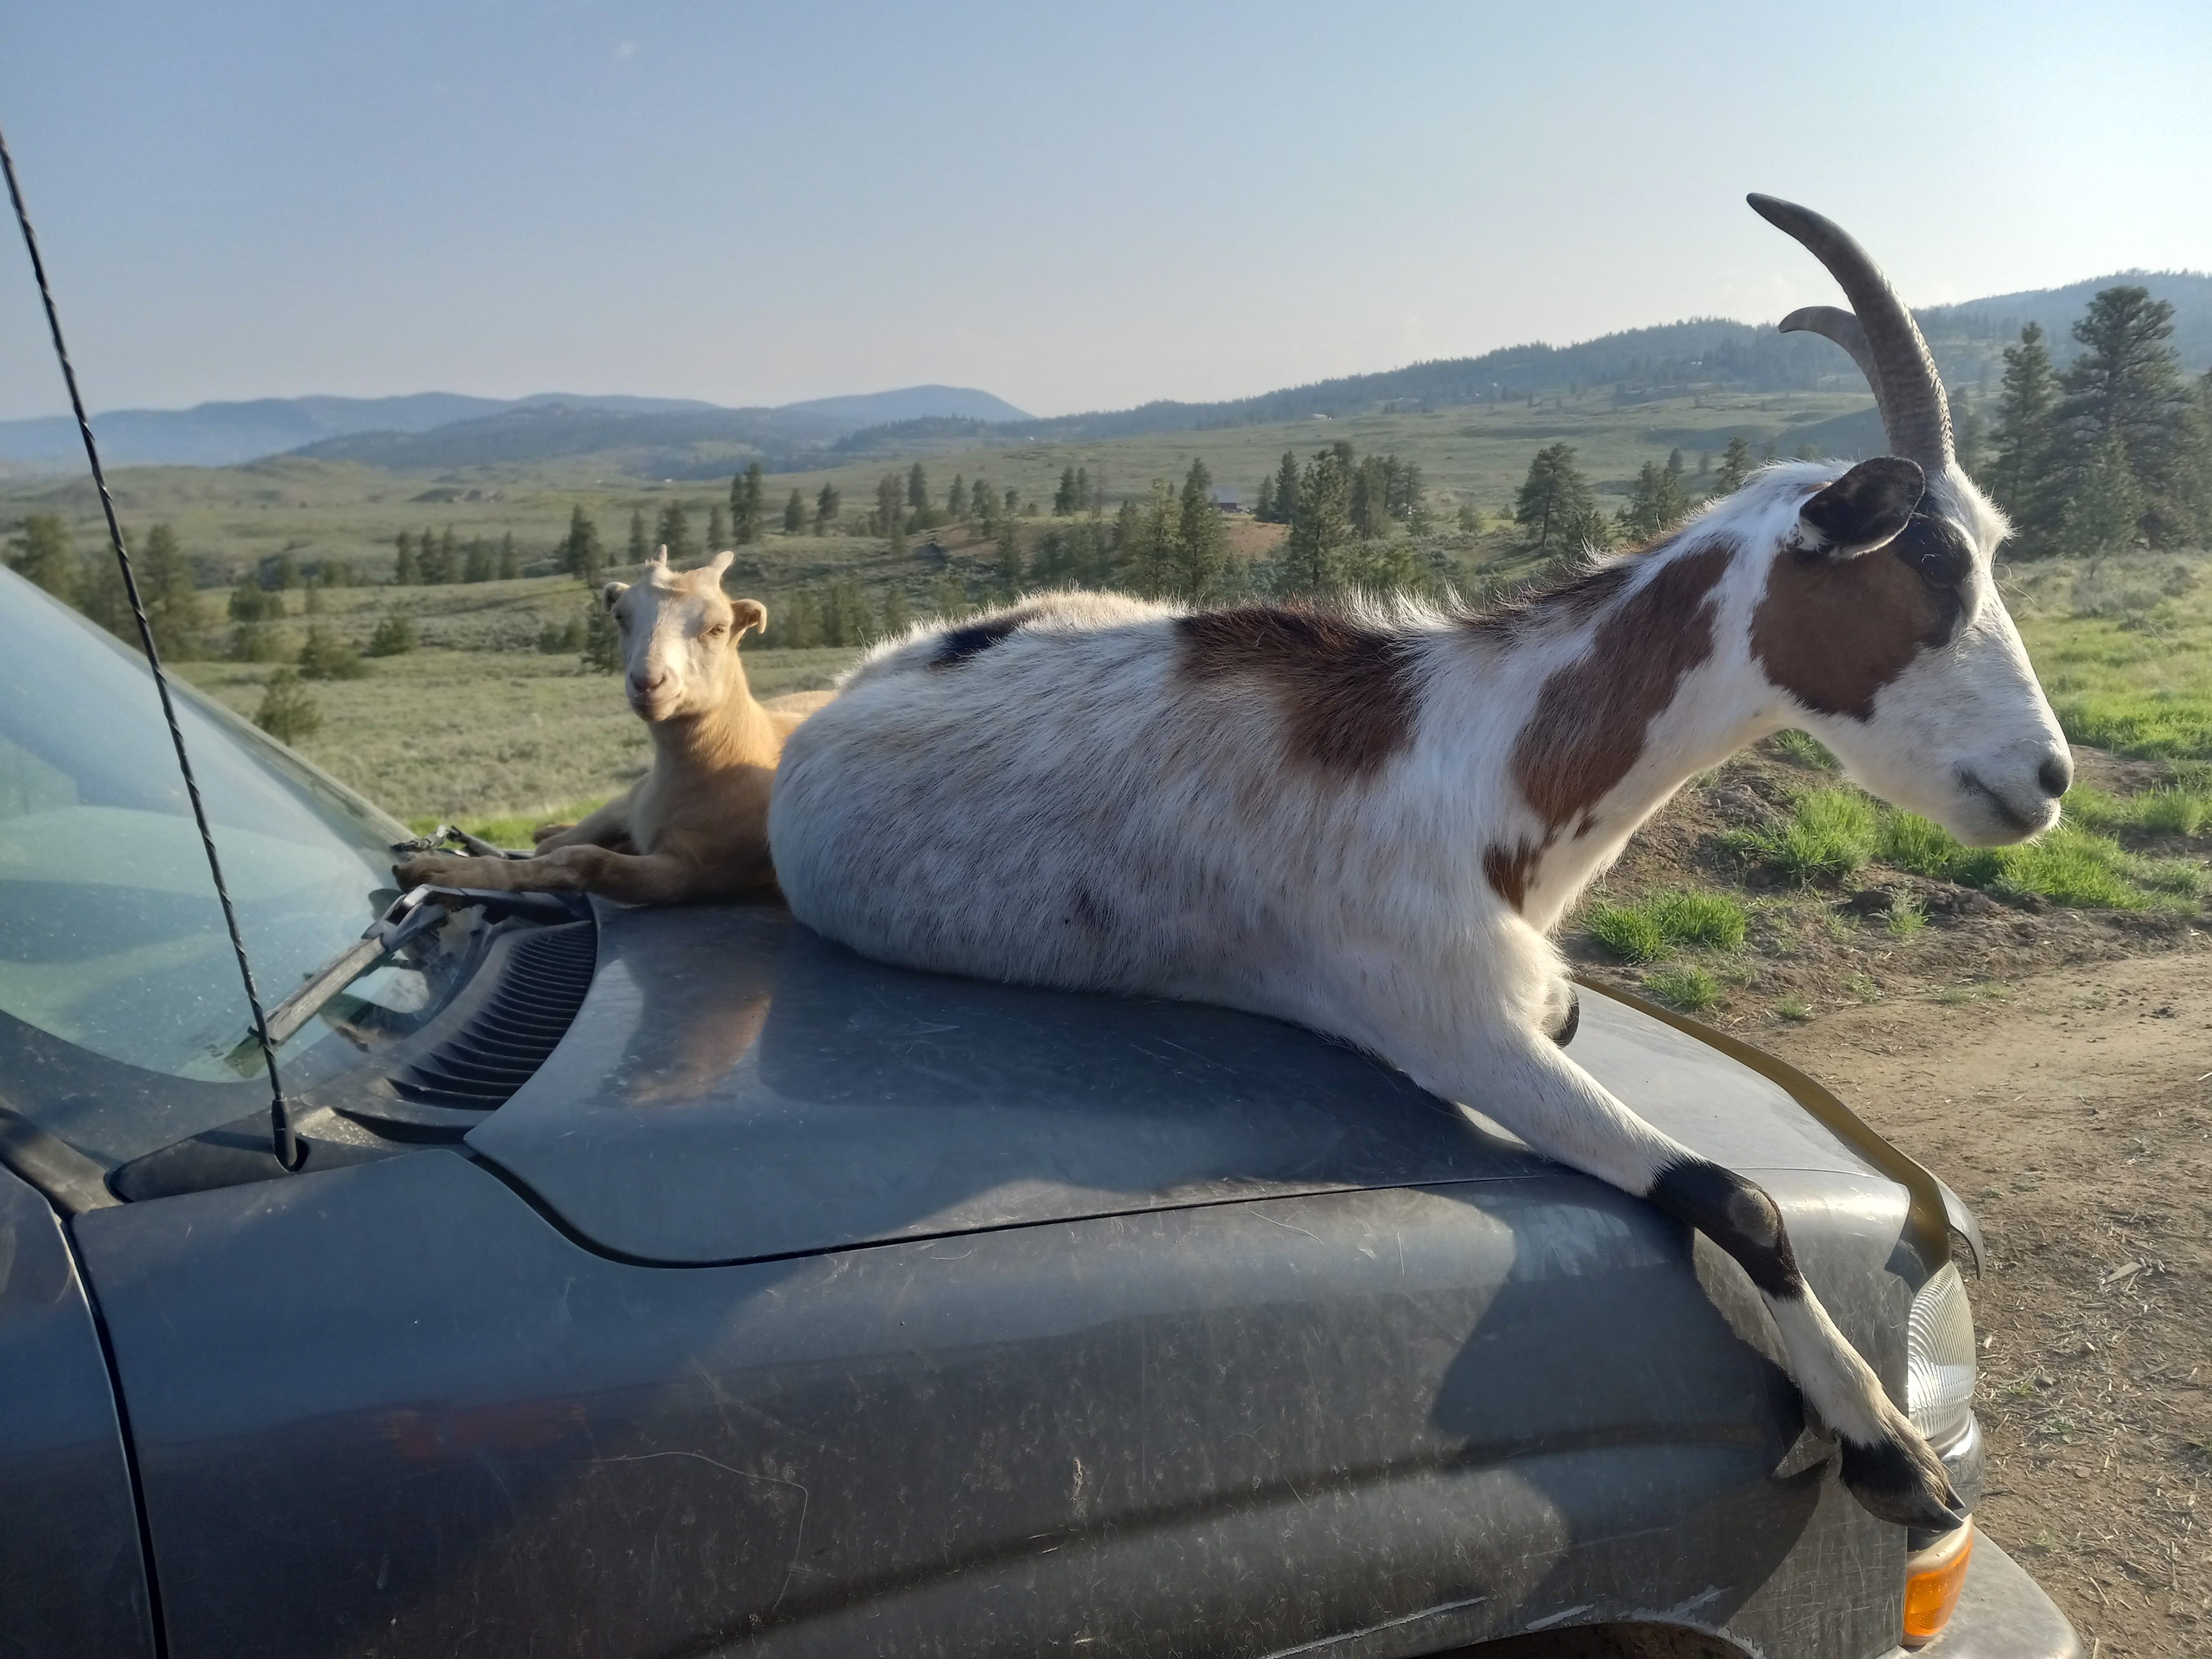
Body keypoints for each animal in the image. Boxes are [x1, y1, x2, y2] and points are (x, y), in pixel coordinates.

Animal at [396, 549, 821, 905]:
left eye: (717, 628)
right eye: (621, 616)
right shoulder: (627, 805)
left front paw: (442, 871)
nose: (648, 683)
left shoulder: (695, 871)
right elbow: (554, 850)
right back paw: (547, 828)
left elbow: (584, 861)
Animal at [767, 197, 2070, 1532]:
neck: (1477, 751)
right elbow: (1741, 1198)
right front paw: (1884, 1441)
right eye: (1932, 563)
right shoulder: (1448, 1025)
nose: (2046, 776)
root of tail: (850, 687)